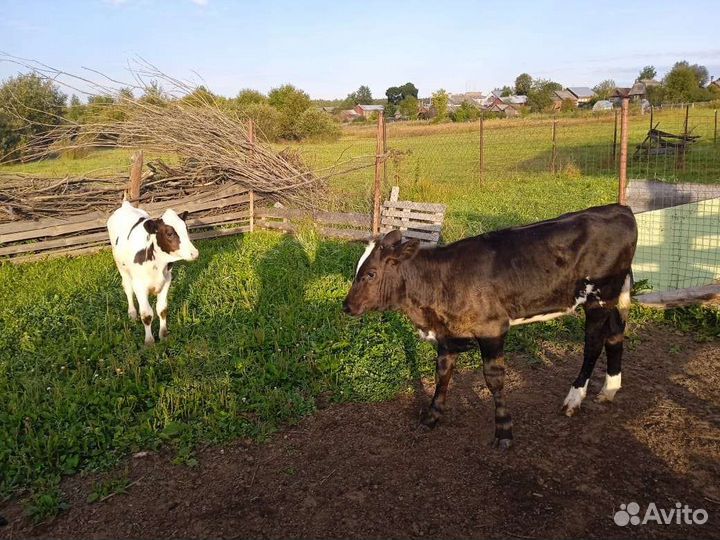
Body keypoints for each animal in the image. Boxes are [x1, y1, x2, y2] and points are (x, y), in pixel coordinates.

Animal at [107, 201, 199, 345]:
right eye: (169, 233)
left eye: (186, 229)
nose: (194, 253)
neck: (158, 265)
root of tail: (125, 205)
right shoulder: (139, 286)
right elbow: (146, 314)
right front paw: (149, 342)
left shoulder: (167, 280)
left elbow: (162, 309)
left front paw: (163, 335)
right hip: (122, 268)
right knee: (127, 288)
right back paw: (132, 313)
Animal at [343, 204, 637, 450]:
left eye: (370, 274)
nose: (346, 306)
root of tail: (619, 208)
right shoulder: (447, 333)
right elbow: (443, 374)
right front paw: (431, 417)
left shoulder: (492, 329)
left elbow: (494, 380)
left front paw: (504, 431)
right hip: (610, 298)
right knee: (615, 335)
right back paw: (609, 389)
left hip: (599, 297)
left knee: (593, 344)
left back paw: (574, 399)